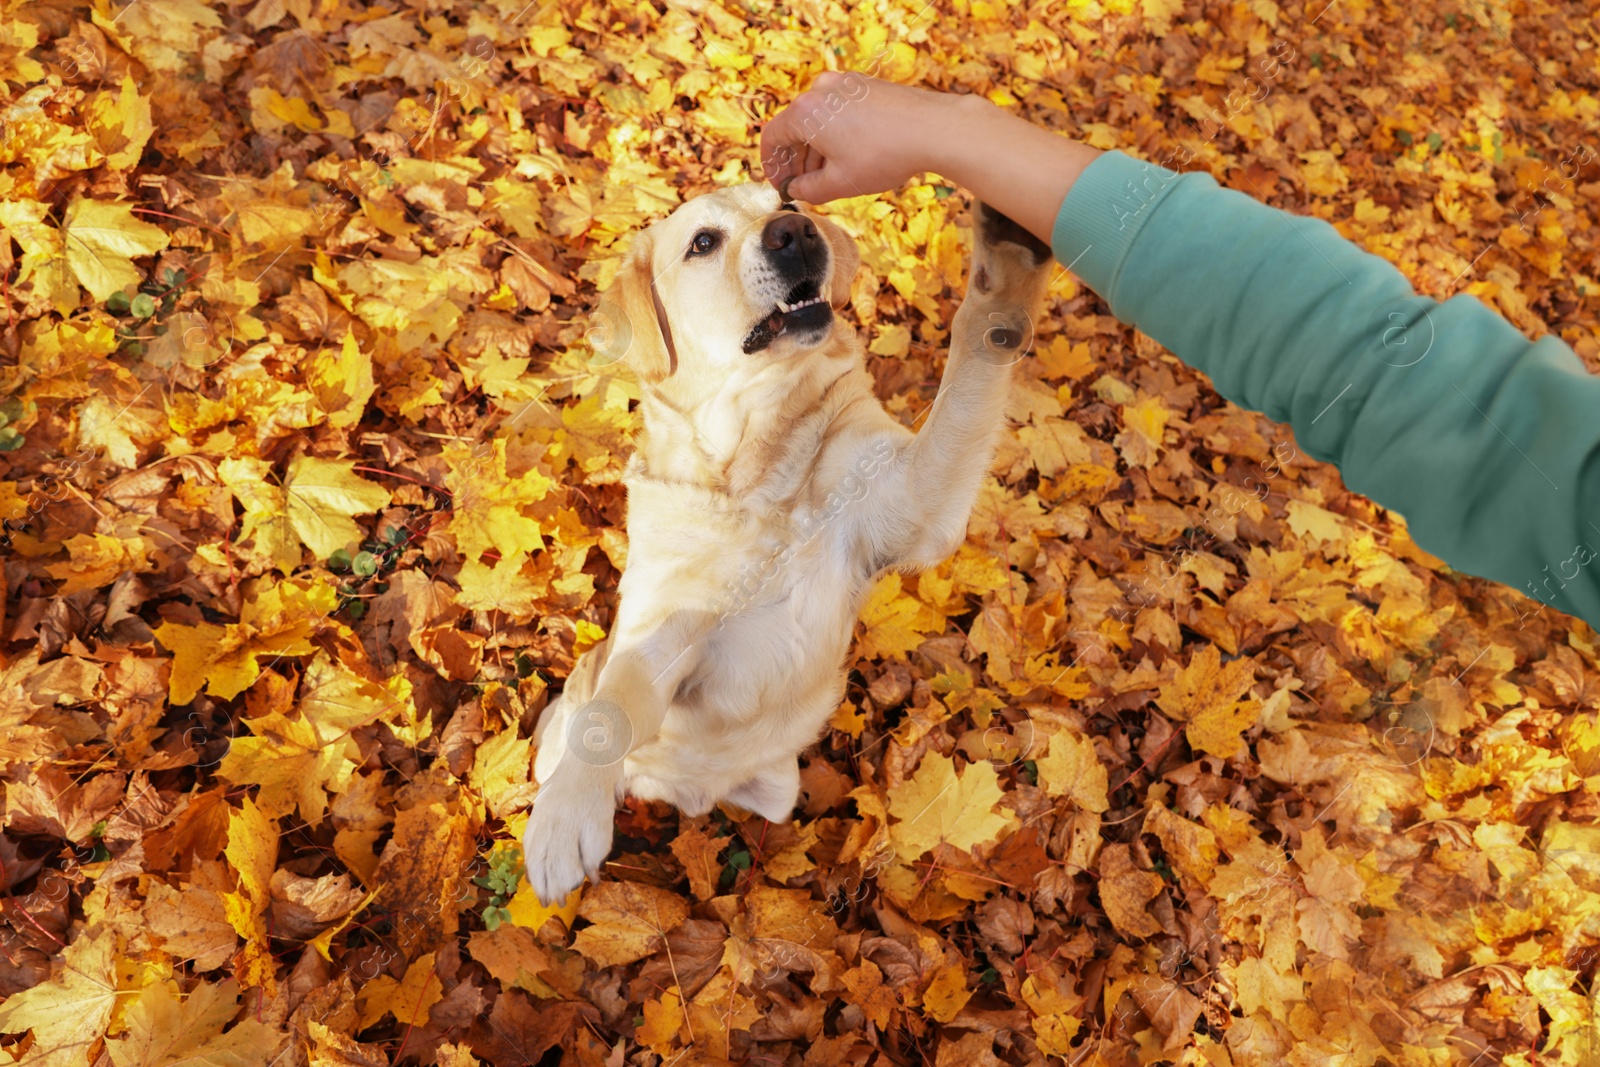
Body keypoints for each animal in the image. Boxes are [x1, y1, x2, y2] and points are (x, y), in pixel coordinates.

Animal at [518, 179, 1056, 908]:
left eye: (789, 203)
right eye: (703, 241)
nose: (795, 233)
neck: (763, 472)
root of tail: (676, 792)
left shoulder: (915, 505)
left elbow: (974, 355)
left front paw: (1008, 258)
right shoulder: (662, 632)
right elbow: (613, 704)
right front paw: (568, 814)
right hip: (562, 719)